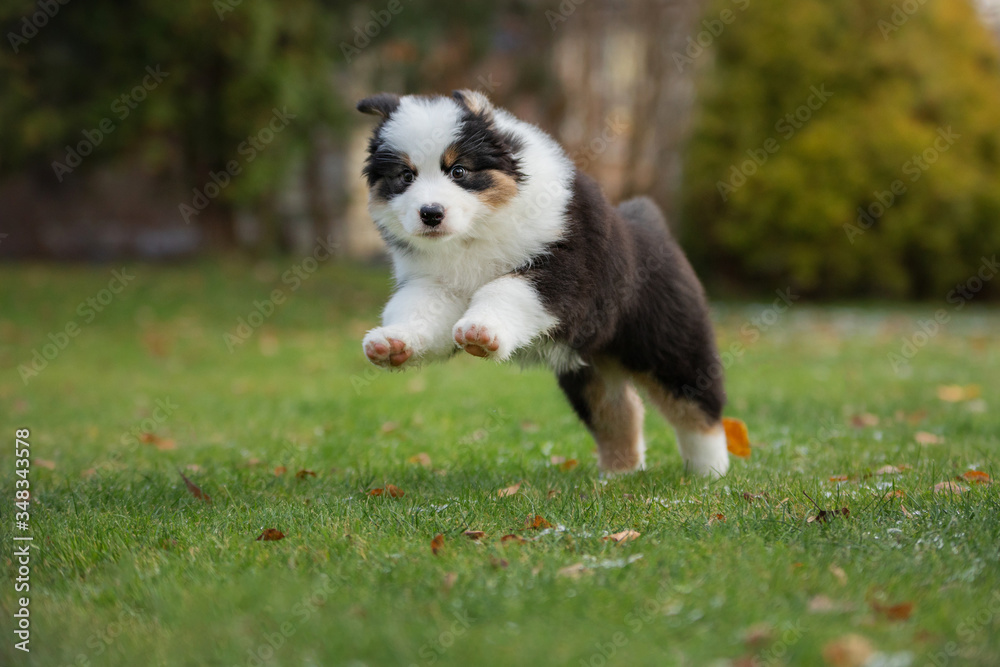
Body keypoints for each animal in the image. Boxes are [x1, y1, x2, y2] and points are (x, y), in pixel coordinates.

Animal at [358, 90, 728, 474]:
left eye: (458, 170)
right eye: (405, 175)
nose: (430, 213)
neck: (474, 232)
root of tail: (649, 219)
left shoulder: (563, 270)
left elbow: (504, 288)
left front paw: (481, 331)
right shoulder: (434, 283)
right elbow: (418, 310)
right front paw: (393, 343)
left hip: (668, 342)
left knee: (697, 405)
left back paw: (709, 473)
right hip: (585, 367)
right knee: (616, 411)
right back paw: (619, 474)